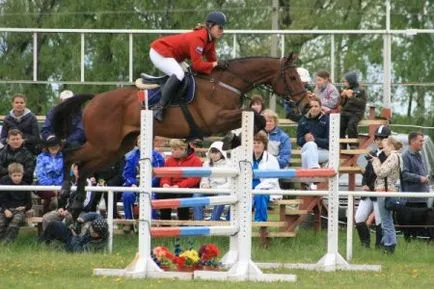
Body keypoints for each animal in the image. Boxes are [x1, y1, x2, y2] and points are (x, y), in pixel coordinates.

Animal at [51, 53, 308, 216]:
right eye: (292, 77)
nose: (305, 105)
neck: (225, 83)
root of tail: (94, 100)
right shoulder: (216, 119)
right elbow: (257, 117)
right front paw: (232, 139)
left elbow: (256, 118)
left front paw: (233, 139)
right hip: (104, 144)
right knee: (70, 155)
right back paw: (64, 192)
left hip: (116, 148)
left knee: (84, 167)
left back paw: (75, 205)